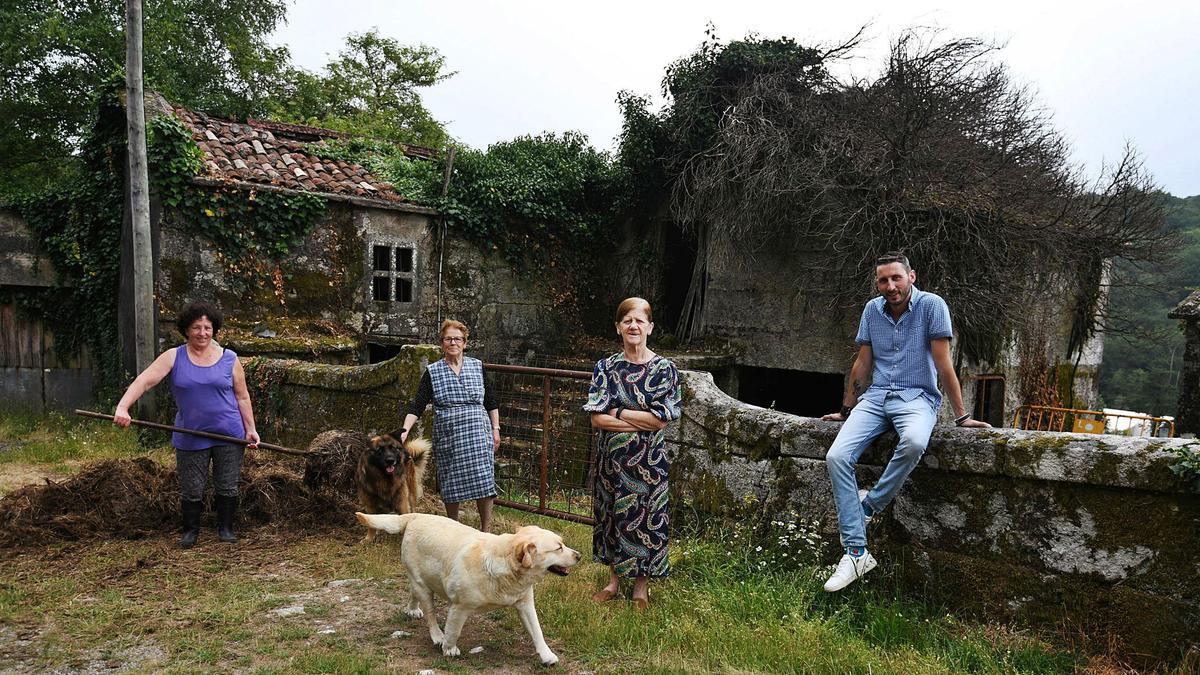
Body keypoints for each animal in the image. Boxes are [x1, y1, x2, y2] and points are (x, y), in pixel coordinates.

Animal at [355, 509, 580, 662]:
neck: (506, 567)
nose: (579, 555)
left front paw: (547, 655)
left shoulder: (525, 604)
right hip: (424, 587)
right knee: (430, 614)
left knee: (413, 592)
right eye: (558, 548)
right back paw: (437, 635)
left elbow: (537, 631)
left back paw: (412, 609)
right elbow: (453, 630)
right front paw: (448, 648)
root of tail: (415, 515)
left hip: (422, 580)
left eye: (562, 544)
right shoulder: (460, 607)